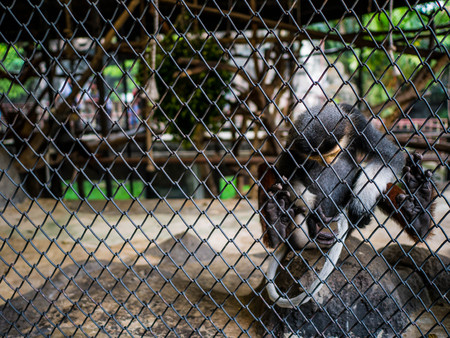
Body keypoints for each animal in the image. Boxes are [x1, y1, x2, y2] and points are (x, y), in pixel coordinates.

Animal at [258, 103, 434, 251]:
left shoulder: (357, 121)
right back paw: (276, 226)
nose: (328, 162)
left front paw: (361, 202)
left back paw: (418, 213)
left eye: (333, 153)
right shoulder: (292, 144)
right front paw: (313, 210)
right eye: (317, 157)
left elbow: (388, 156)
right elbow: (282, 174)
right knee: (266, 169)